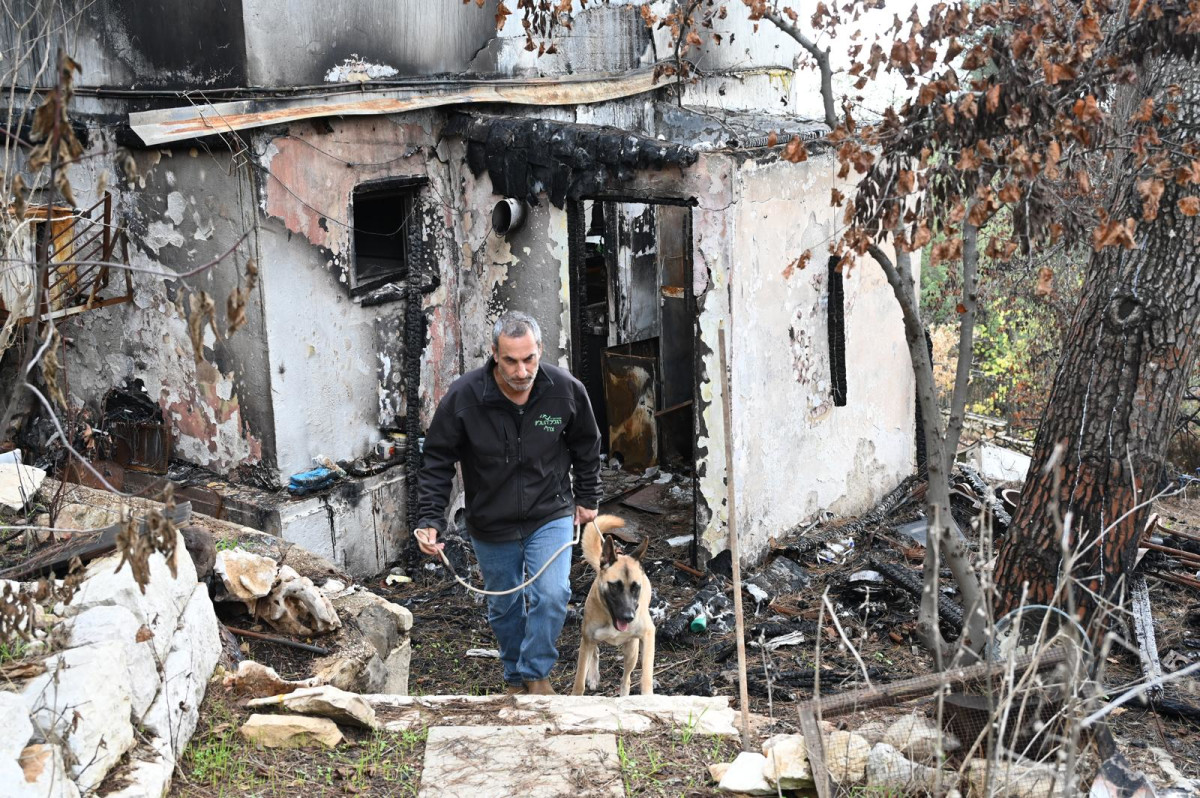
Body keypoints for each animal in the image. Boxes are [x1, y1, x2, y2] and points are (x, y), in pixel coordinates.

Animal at [571, 513, 657, 696]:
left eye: (636, 587)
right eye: (614, 586)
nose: (628, 617)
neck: (610, 620)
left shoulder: (648, 634)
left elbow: (645, 677)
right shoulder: (587, 640)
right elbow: (579, 682)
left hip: (631, 651)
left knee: (626, 678)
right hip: (589, 639)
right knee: (595, 651)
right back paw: (593, 676)